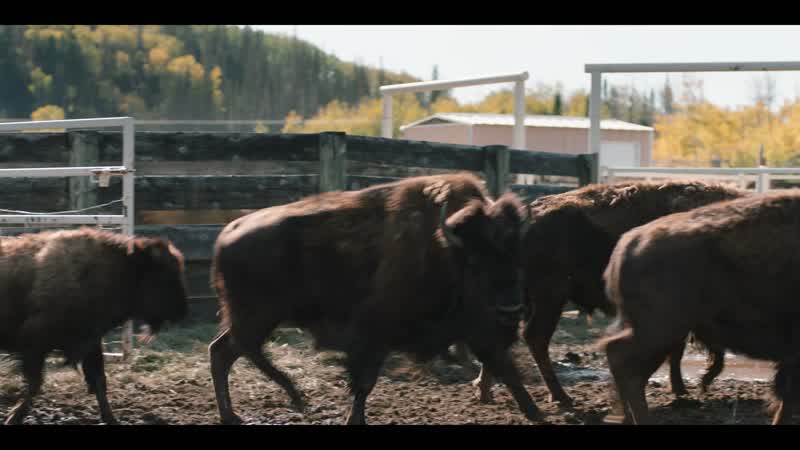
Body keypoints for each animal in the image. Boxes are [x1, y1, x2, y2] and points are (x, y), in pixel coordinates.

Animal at [0, 227, 189, 425]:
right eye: (163, 275)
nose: (182, 311)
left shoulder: (91, 343)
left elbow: (99, 382)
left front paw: (111, 419)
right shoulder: (35, 345)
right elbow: (35, 384)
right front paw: (13, 417)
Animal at [208, 173, 540, 425]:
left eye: (517, 257)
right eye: (474, 260)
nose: (511, 309)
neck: (443, 251)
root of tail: (227, 232)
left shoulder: (480, 332)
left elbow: (508, 369)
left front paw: (536, 413)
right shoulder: (374, 336)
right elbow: (364, 382)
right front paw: (355, 419)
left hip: (256, 317)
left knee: (223, 351)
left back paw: (236, 414)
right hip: (260, 316)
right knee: (240, 349)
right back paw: (294, 395)